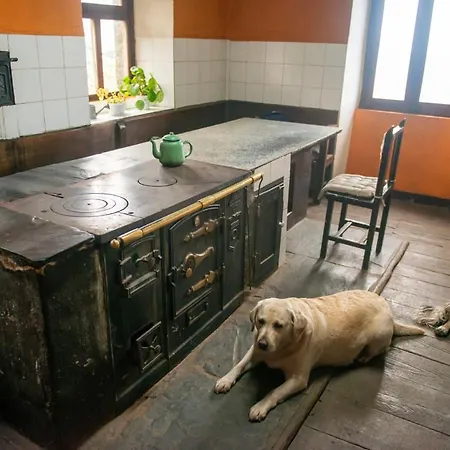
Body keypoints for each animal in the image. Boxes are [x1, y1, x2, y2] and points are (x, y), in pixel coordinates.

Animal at [214, 290, 424, 422]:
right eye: (260, 321)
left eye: (279, 325)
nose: (263, 344)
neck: (284, 347)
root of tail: (390, 313)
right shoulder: (254, 352)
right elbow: (239, 365)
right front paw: (225, 380)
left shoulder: (298, 379)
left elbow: (274, 391)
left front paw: (260, 406)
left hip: (377, 334)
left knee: (381, 349)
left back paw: (362, 357)